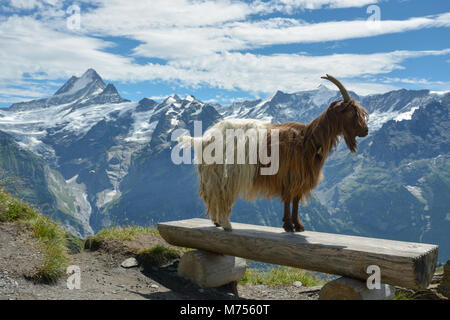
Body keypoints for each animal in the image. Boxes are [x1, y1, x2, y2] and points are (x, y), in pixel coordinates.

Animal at [179, 76, 370, 234]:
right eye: (352, 112)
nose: (366, 131)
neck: (309, 138)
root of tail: (204, 138)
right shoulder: (290, 176)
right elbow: (288, 199)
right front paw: (289, 225)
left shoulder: (298, 177)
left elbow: (296, 200)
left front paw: (297, 225)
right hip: (226, 173)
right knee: (222, 196)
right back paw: (226, 224)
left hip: (214, 174)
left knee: (214, 196)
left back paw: (217, 221)